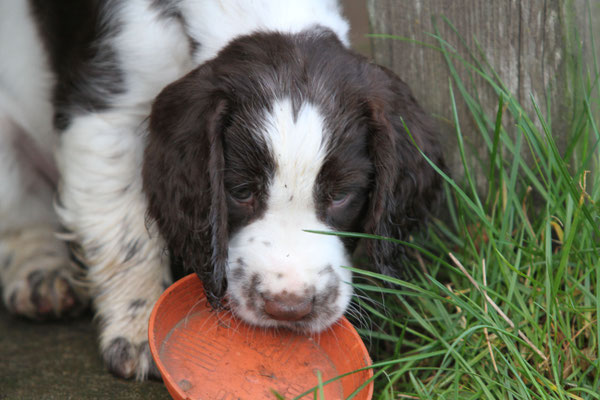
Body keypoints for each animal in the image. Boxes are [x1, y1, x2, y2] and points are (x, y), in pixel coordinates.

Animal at [0, 0, 440, 380]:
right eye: (241, 192)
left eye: (341, 196)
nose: (289, 308)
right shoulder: (106, 112)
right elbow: (124, 233)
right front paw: (138, 326)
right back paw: (41, 271)